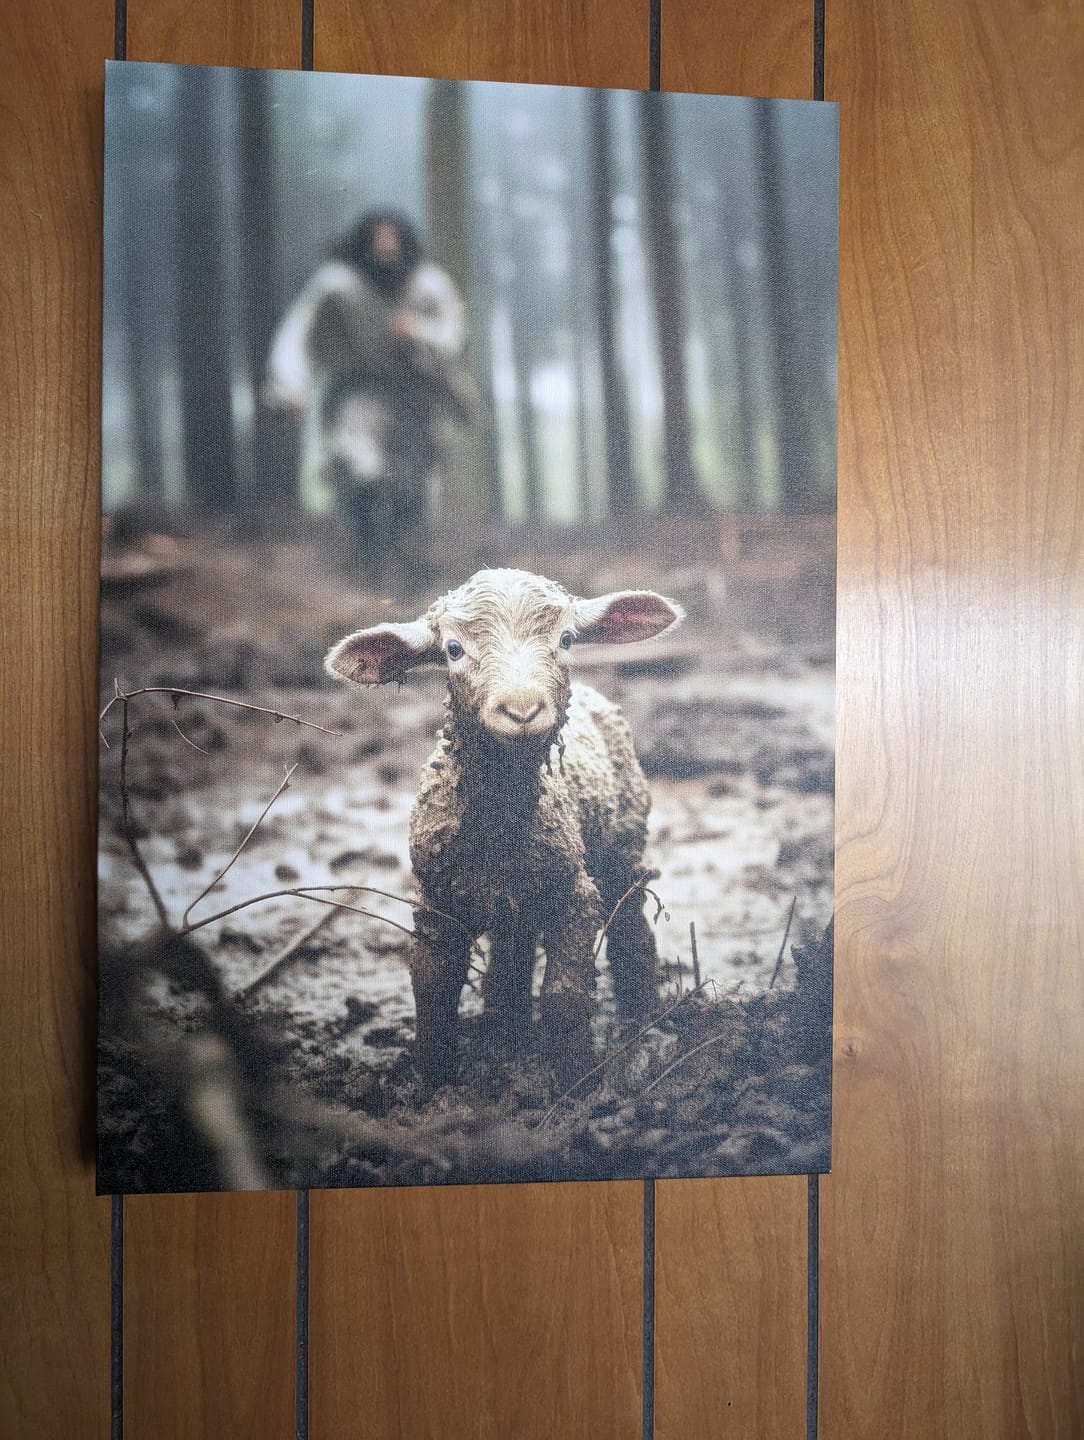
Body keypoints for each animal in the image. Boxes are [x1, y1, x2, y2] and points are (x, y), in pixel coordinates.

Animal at [325, 567, 684, 1085]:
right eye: (453, 649)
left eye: (567, 639)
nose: (521, 710)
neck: (499, 825)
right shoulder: (437, 900)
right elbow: (432, 990)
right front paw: (432, 1080)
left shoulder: (573, 892)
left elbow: (565, 995)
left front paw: (577, 1081)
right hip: (516, 896)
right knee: (513, 946)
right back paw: (505, 1028)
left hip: (623, 839)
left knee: (630, 918)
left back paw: (642, 1019)